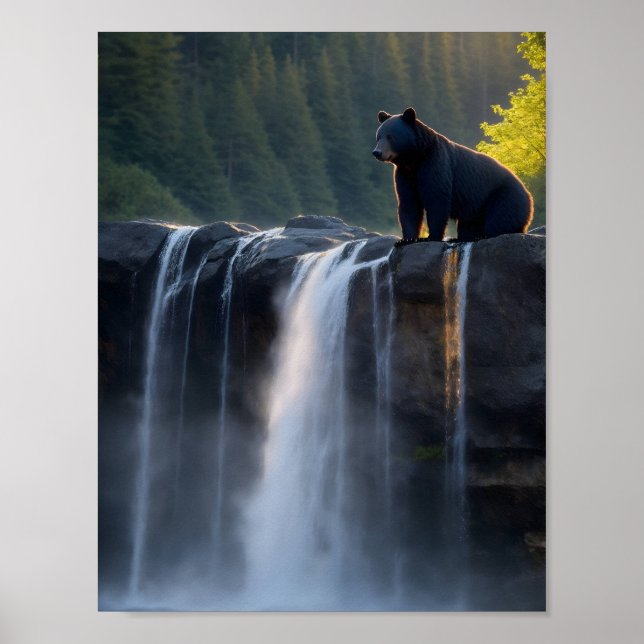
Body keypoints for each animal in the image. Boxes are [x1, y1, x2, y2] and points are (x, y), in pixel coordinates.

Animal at [372, 107, 534, 244]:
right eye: (378, 136)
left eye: (390, 137)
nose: (377, 152)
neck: (414, 159)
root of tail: (528, 194)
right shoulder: (405, 174)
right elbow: (409, 202)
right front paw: (406, 239)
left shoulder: (435, 164)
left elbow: (436, 199)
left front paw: (430, 237)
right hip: (474, 207)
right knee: (468, 223)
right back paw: (461, 238)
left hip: (504, 196)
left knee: (499, 219)